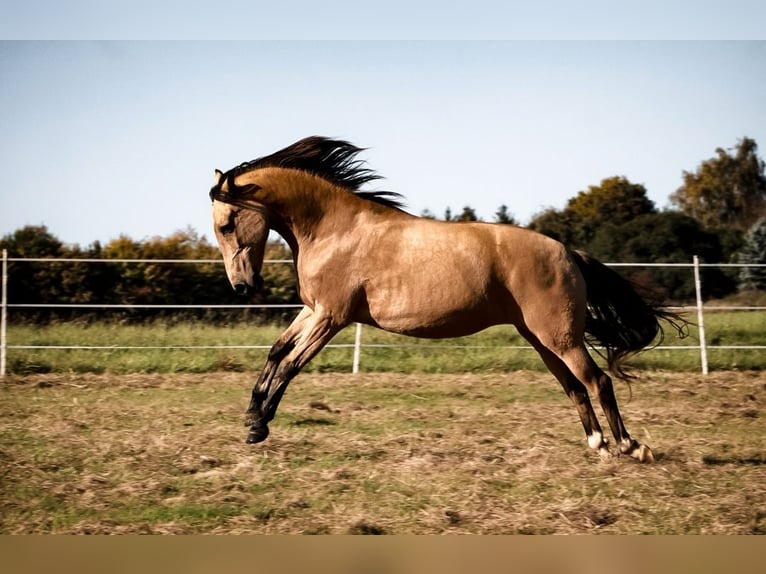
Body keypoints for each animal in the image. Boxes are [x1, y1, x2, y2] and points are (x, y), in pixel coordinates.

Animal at [207, 135, 688, 464]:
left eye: (227, 224)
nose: (242, 287)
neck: (333, 228)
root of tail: (568, 252)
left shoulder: (331, 316)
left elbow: (291, 364)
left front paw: (259, 426)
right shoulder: (313, 311)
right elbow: (275, 352)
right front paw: (251, 420)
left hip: (560, 336)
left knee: (597, 381)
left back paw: (629, 446)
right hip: (541, 339)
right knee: (574, 385)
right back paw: (598, 445)